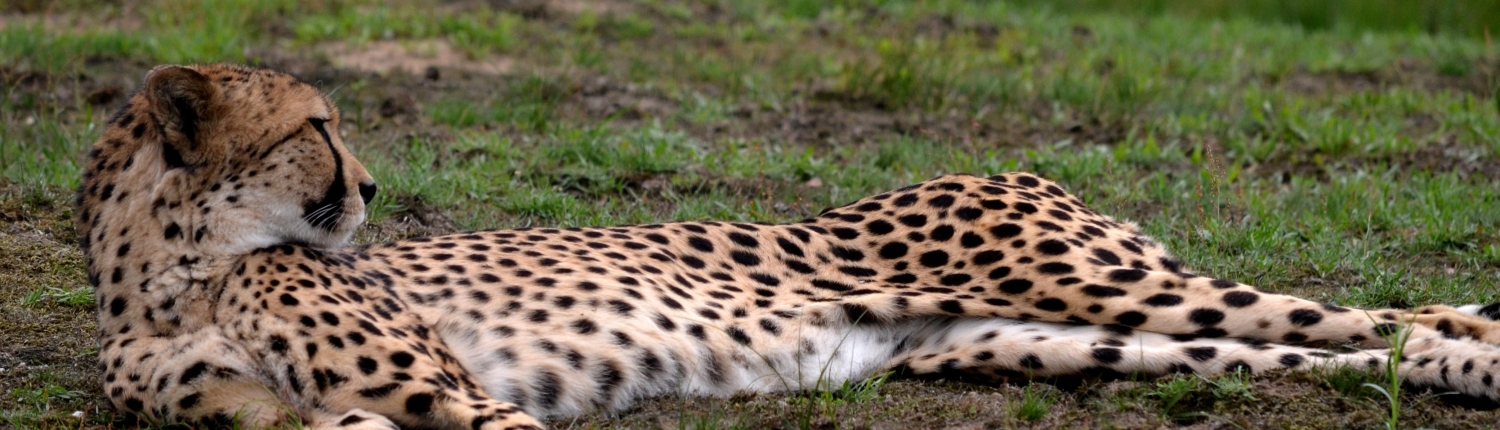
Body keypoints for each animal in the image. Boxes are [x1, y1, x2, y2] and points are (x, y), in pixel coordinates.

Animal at [76, 62, 1500, 428]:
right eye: (318, 126)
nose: (374, 182)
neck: (174, 276)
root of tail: (1001, 161)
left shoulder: (463, 401)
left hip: (1086, 276)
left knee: (1375, 314)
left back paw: (1467, 352)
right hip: (1031, 340)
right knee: (1339, 354)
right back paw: (1452, 373)